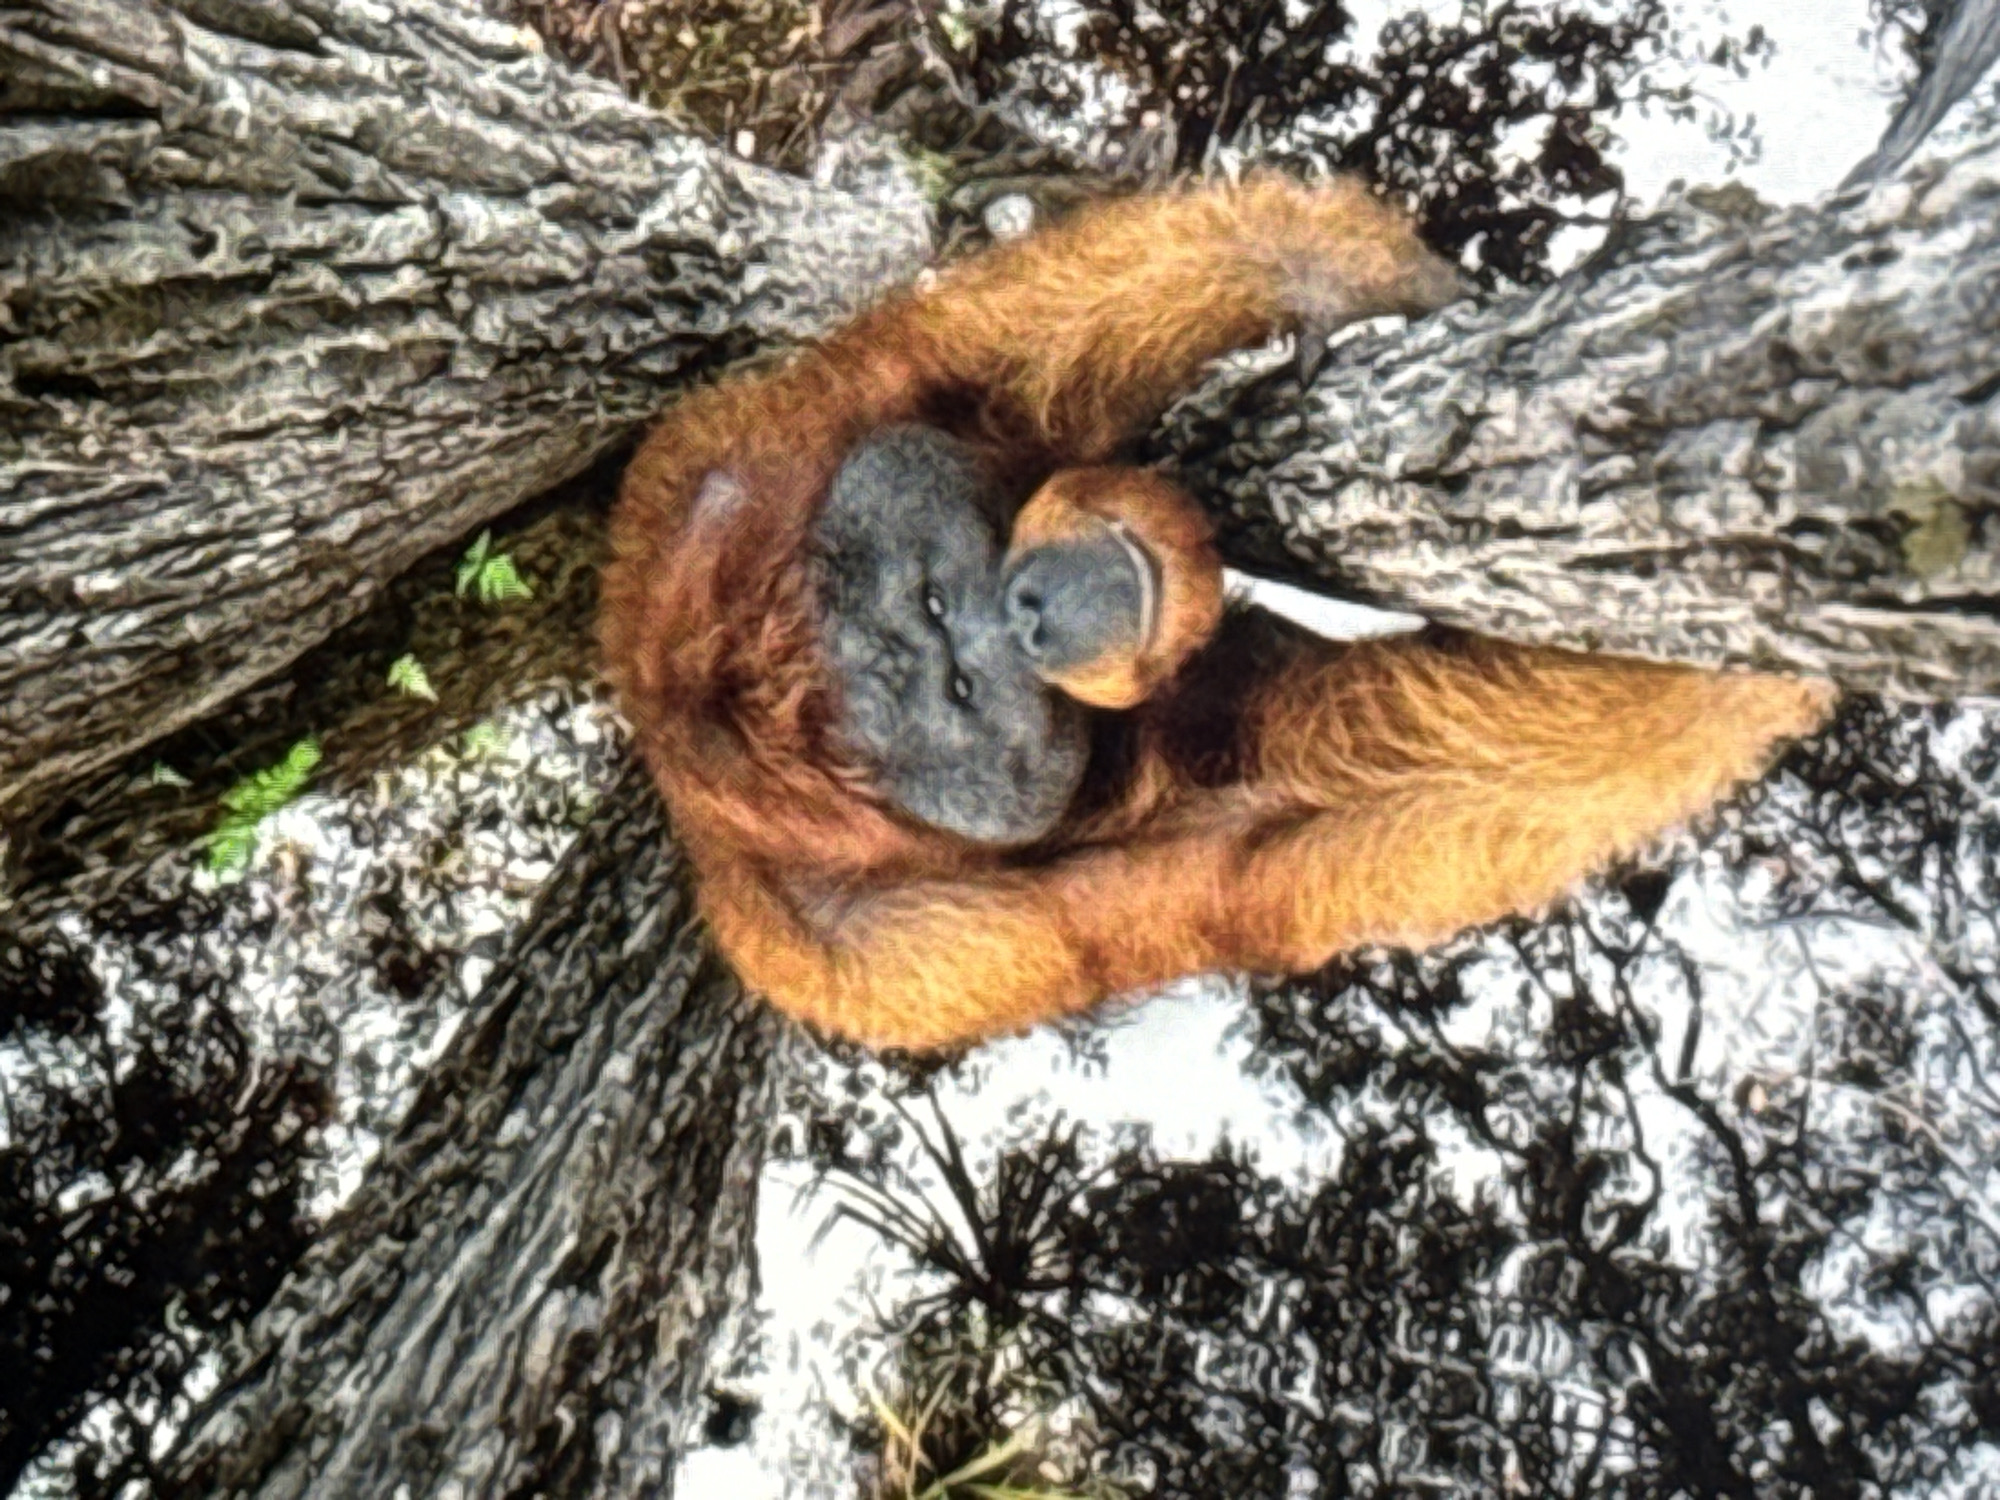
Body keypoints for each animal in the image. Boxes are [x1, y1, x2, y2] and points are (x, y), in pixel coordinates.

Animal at [600, 174, 1834, 1052]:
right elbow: (1295, 816)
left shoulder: (743, 476)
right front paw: (1752, 669)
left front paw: (1330, 278)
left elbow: (998, 349)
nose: (1027, 608)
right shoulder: (899, 952)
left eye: (938, 603)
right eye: (962, 684)